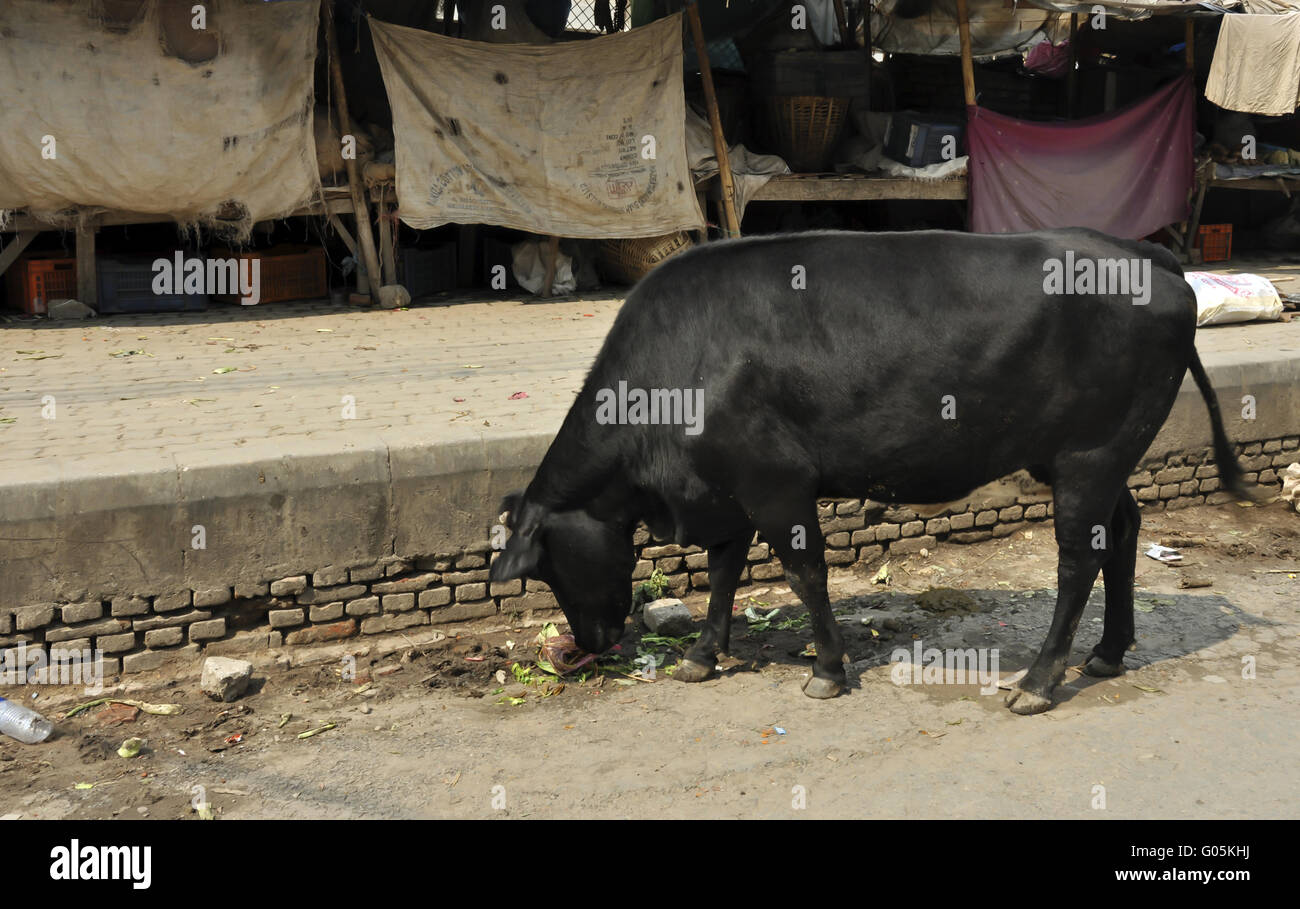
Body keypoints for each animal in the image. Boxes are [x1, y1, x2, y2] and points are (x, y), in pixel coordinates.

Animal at [489, 228, 1249, 713]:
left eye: (547, 566)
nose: (591, 644)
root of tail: (1146, 253)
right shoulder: (727, 489)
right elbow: (725, 572)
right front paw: (703, 655)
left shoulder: (775, 481)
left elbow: (804, 574)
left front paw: (826, 670)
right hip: (1100, 458)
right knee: (1123, 532)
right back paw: (1109, 650)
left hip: (1091, 456)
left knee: (1077, 558)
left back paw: (1037, 681)